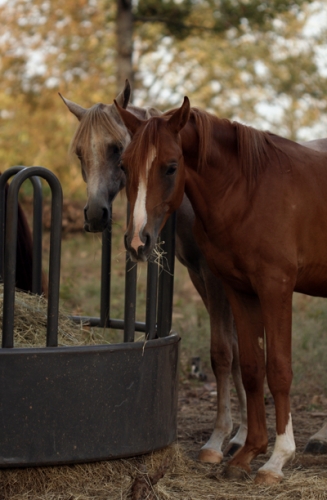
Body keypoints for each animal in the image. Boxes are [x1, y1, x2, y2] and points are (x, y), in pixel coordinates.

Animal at [59, 83, 249, 464]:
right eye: (79, 153)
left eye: (117, 148)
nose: (95, 215)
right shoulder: (201, 275)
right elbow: (235, 350)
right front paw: (239, 436)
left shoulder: (222, 278)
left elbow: (231, 351)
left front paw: (222, 438)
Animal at [116, 95, 327, 482]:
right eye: (124, 165)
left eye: (171, 167)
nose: (138, 241)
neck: (249, 191)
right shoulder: (238, 290)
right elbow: (251, 367)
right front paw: (247, 452)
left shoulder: (275, 289)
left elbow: (278, 369)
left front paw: (277, 459)